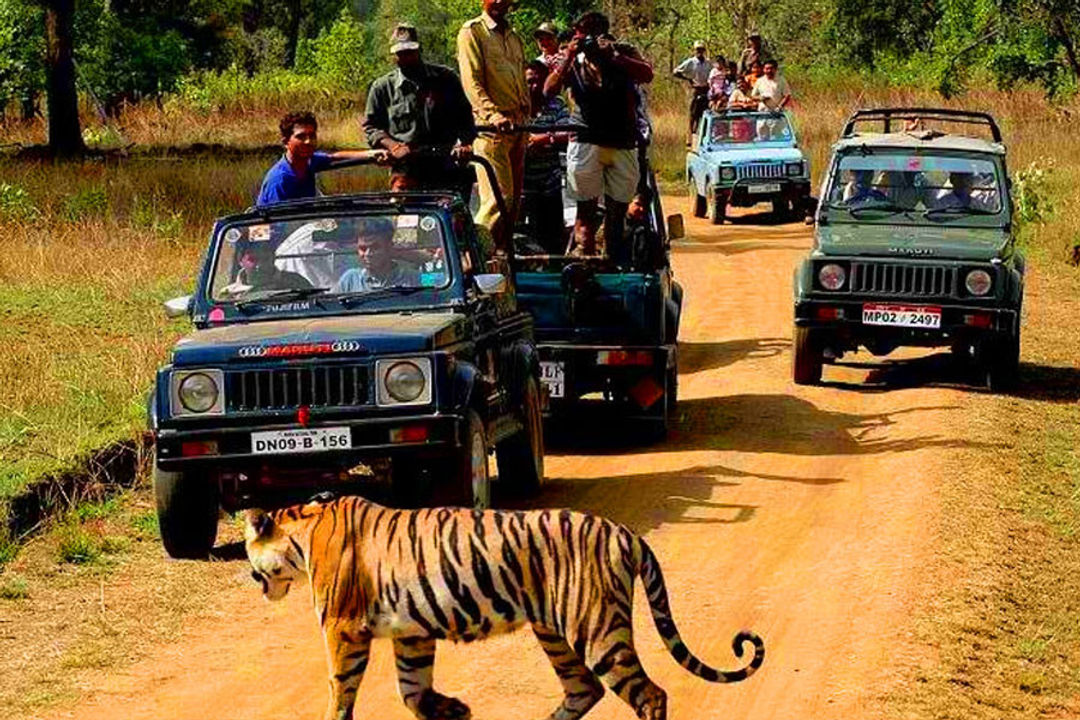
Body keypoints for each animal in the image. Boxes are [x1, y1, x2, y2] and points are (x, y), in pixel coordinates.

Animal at [247, 496, 768, 720]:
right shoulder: (411, 633)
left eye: (252, 565)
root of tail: (624, 531)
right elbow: (412, 690)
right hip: (555, 631)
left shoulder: (343, 629)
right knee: (583, 691)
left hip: (597, 629)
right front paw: (452, 709)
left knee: (649, 695)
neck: (302, 532)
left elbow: (341, 690)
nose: (257, 585)